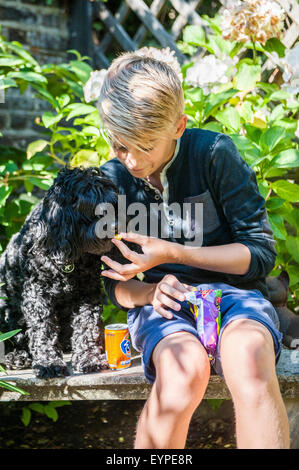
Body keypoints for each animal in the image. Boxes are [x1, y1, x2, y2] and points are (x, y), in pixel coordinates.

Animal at [0, 165, 127, 378]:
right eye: (94, 208)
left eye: (114, 204)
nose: (116, 226)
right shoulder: (37, 295)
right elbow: (43, 329)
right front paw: (49, 364)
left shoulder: (87, 293)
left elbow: (86, 325)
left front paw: (88, 359)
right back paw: (15, 356)